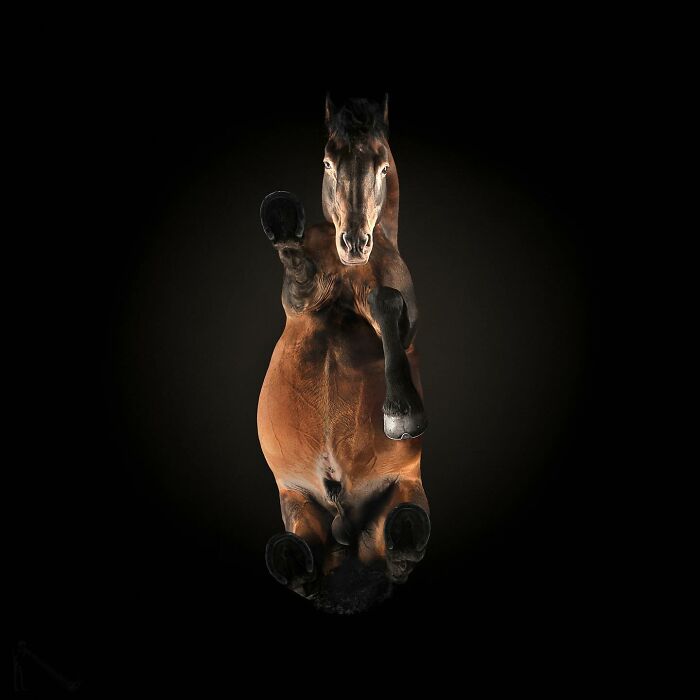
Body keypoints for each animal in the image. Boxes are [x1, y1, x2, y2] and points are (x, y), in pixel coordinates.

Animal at [257, 95, 430, 613]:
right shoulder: (300, 302)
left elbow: (386, 302)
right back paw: (301, 567)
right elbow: (301, 272)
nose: (354, 242)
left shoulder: (404, 319)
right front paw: (282, 223)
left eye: (381, 164)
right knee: (300, 551)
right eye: (328, 162)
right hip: (295, 501)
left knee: (399, 544)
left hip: (404, 494)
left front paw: (401, 413)